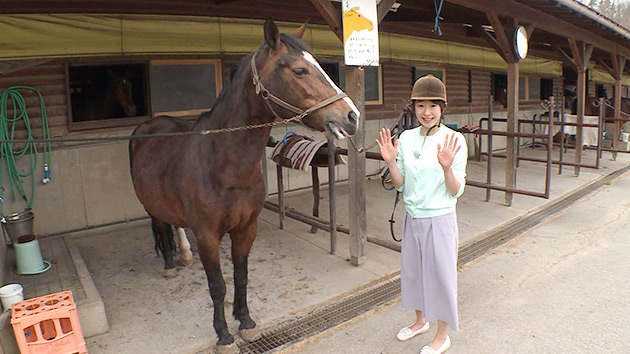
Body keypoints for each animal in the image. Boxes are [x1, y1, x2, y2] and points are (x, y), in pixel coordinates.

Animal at [127, 20, 360, 354]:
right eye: (300, 70)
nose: (351, 116)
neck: (222, 164)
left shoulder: (246, 228)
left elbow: (241, 276)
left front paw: (246, 322)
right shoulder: (208, 236)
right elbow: (217, 285)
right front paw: (224, 335)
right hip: (151, 205)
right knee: (160, 225)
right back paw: (171, 264)